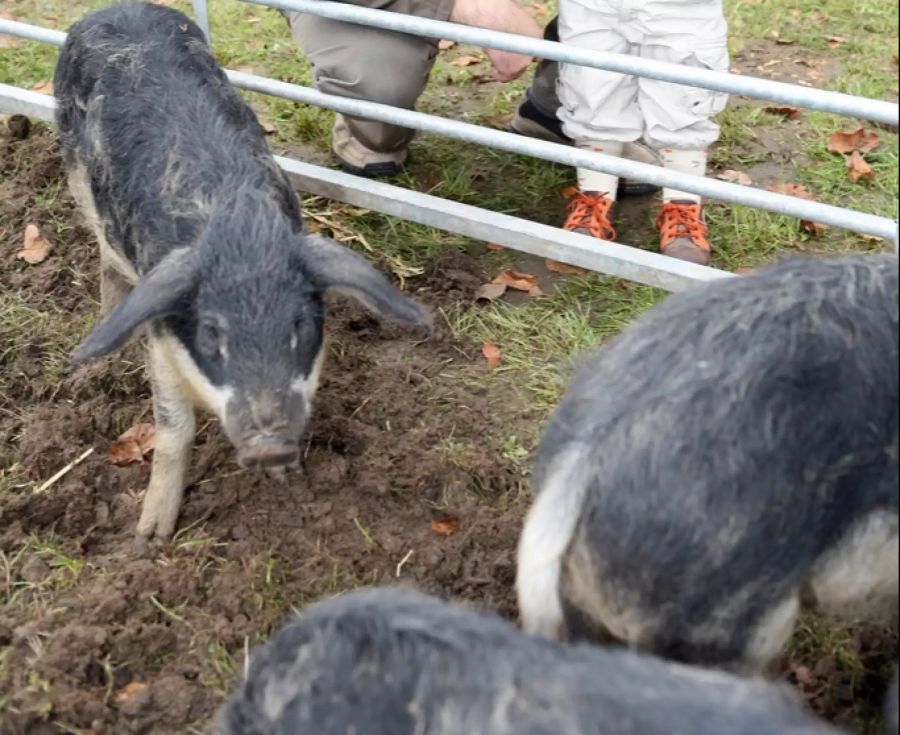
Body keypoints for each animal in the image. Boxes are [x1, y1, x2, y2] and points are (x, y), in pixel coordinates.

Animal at [54, 4, 430, 552]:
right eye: (212, 334)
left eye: (299, 327)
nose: (269, 444)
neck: (240, 231)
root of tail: (118, 8)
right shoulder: (162, 326)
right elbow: (173, 427)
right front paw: (149, 539)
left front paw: (287, 477)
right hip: (78, 175)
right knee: (104, 259)